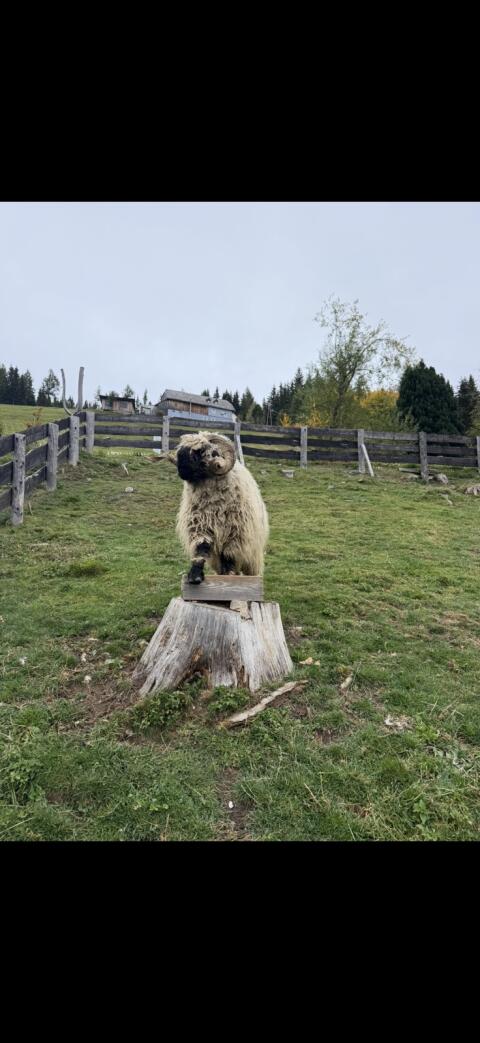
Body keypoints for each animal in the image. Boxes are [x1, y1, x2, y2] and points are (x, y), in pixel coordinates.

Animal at [172, 431, 269, 583]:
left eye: (201, 451)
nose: (181, 469)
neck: (215, 507)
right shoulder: (200, 526)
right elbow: (201, 548)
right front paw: (195, 575)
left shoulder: (236, 535)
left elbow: (229, 556)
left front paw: (229, 575)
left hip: (253, 557)